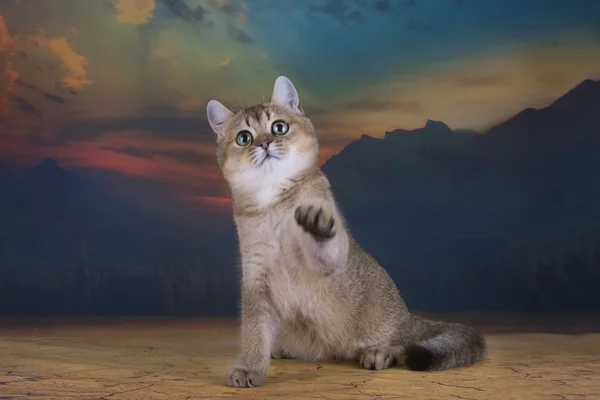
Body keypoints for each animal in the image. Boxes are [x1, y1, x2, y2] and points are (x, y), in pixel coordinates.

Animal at [206, 76, 488, 388]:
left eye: (279, 127)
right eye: (244, 138)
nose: (265, 143)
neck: (274, 204)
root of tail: (406, 316)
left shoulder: (327, 264)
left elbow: (325, 245)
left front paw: (316, 224)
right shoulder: (256, 277)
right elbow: (254, 329)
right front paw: (250, 367)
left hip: (384, 326)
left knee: (403, 343)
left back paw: (380, 353)